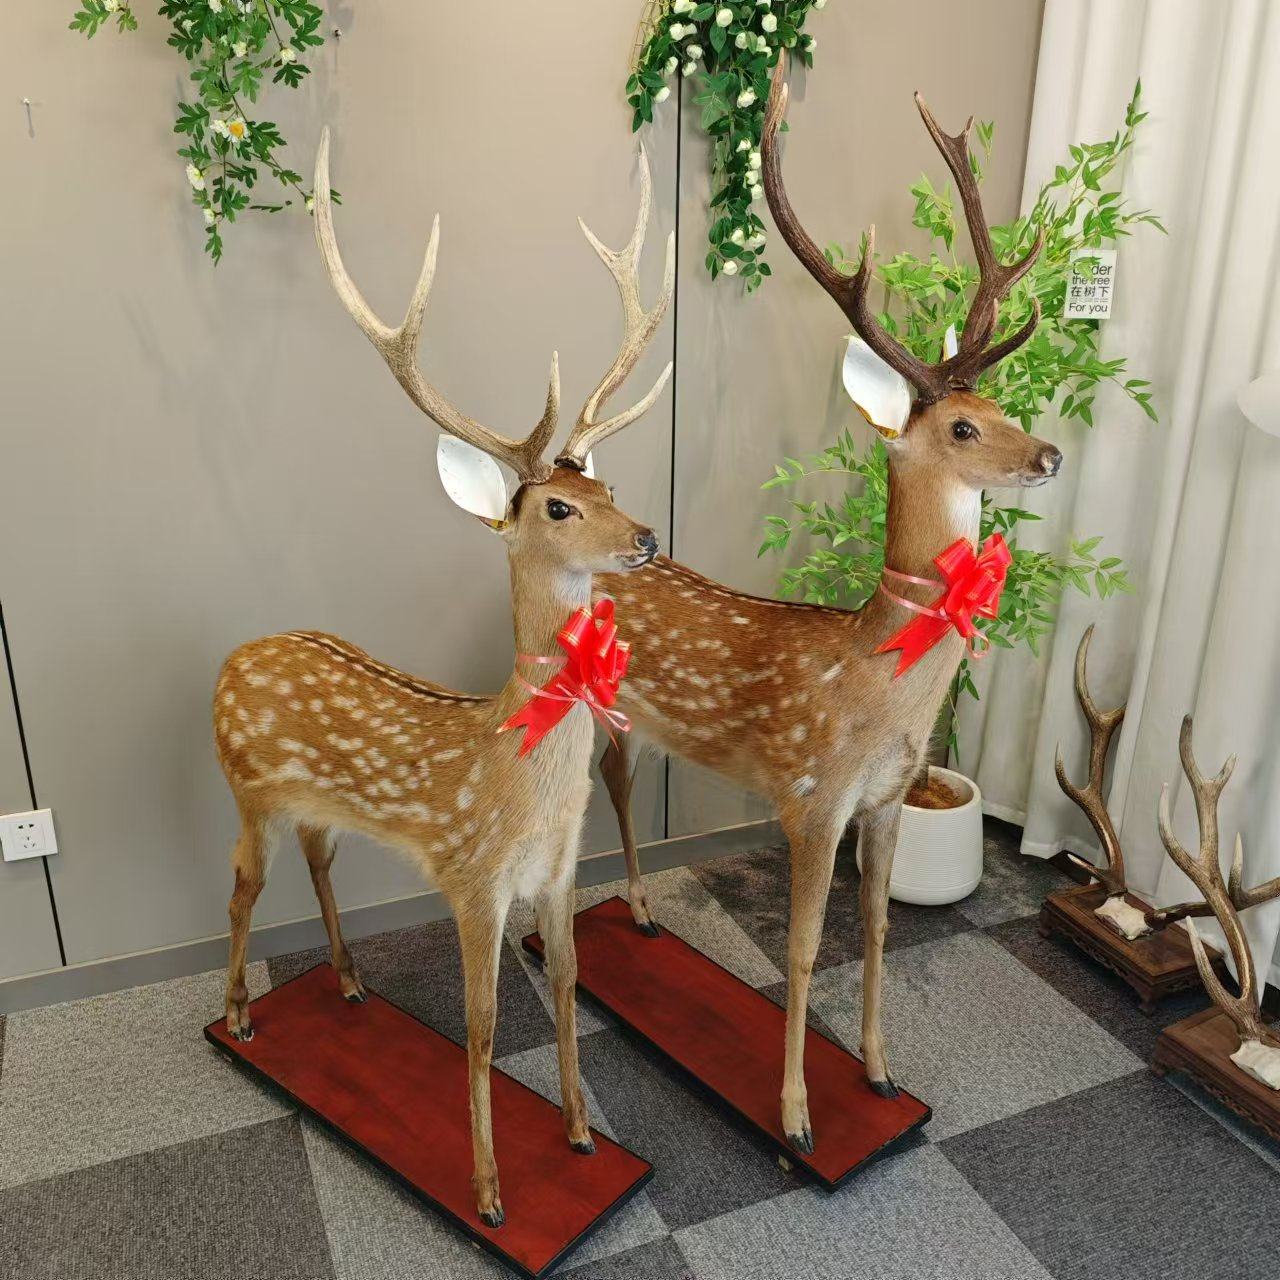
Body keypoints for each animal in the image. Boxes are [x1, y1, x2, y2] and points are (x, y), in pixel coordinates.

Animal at [213, 132, 674, 1227]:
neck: (517, 783)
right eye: (555, 506)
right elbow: (480, 1025)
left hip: (314, 806)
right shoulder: (471, 877)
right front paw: (490, 1191)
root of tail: (230, 661)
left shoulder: (558, 875)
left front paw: (580, 1132)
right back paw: (239, 1011)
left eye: (606, 481)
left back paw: (345, 982)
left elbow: (567, 988)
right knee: (241, 888)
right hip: (248, 788)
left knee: (318, 862)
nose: (644, 536)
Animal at [587, 58, 1063, 1154]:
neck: (871, 689)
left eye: (1003, 403)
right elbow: (804, 949)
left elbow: (878, 929)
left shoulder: (885, 800)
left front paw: (882, 1073)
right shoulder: (810, 796)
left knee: (620, 781)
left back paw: (638, 915)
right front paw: (796, 1115)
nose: (1050, 451)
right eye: (963, 426)